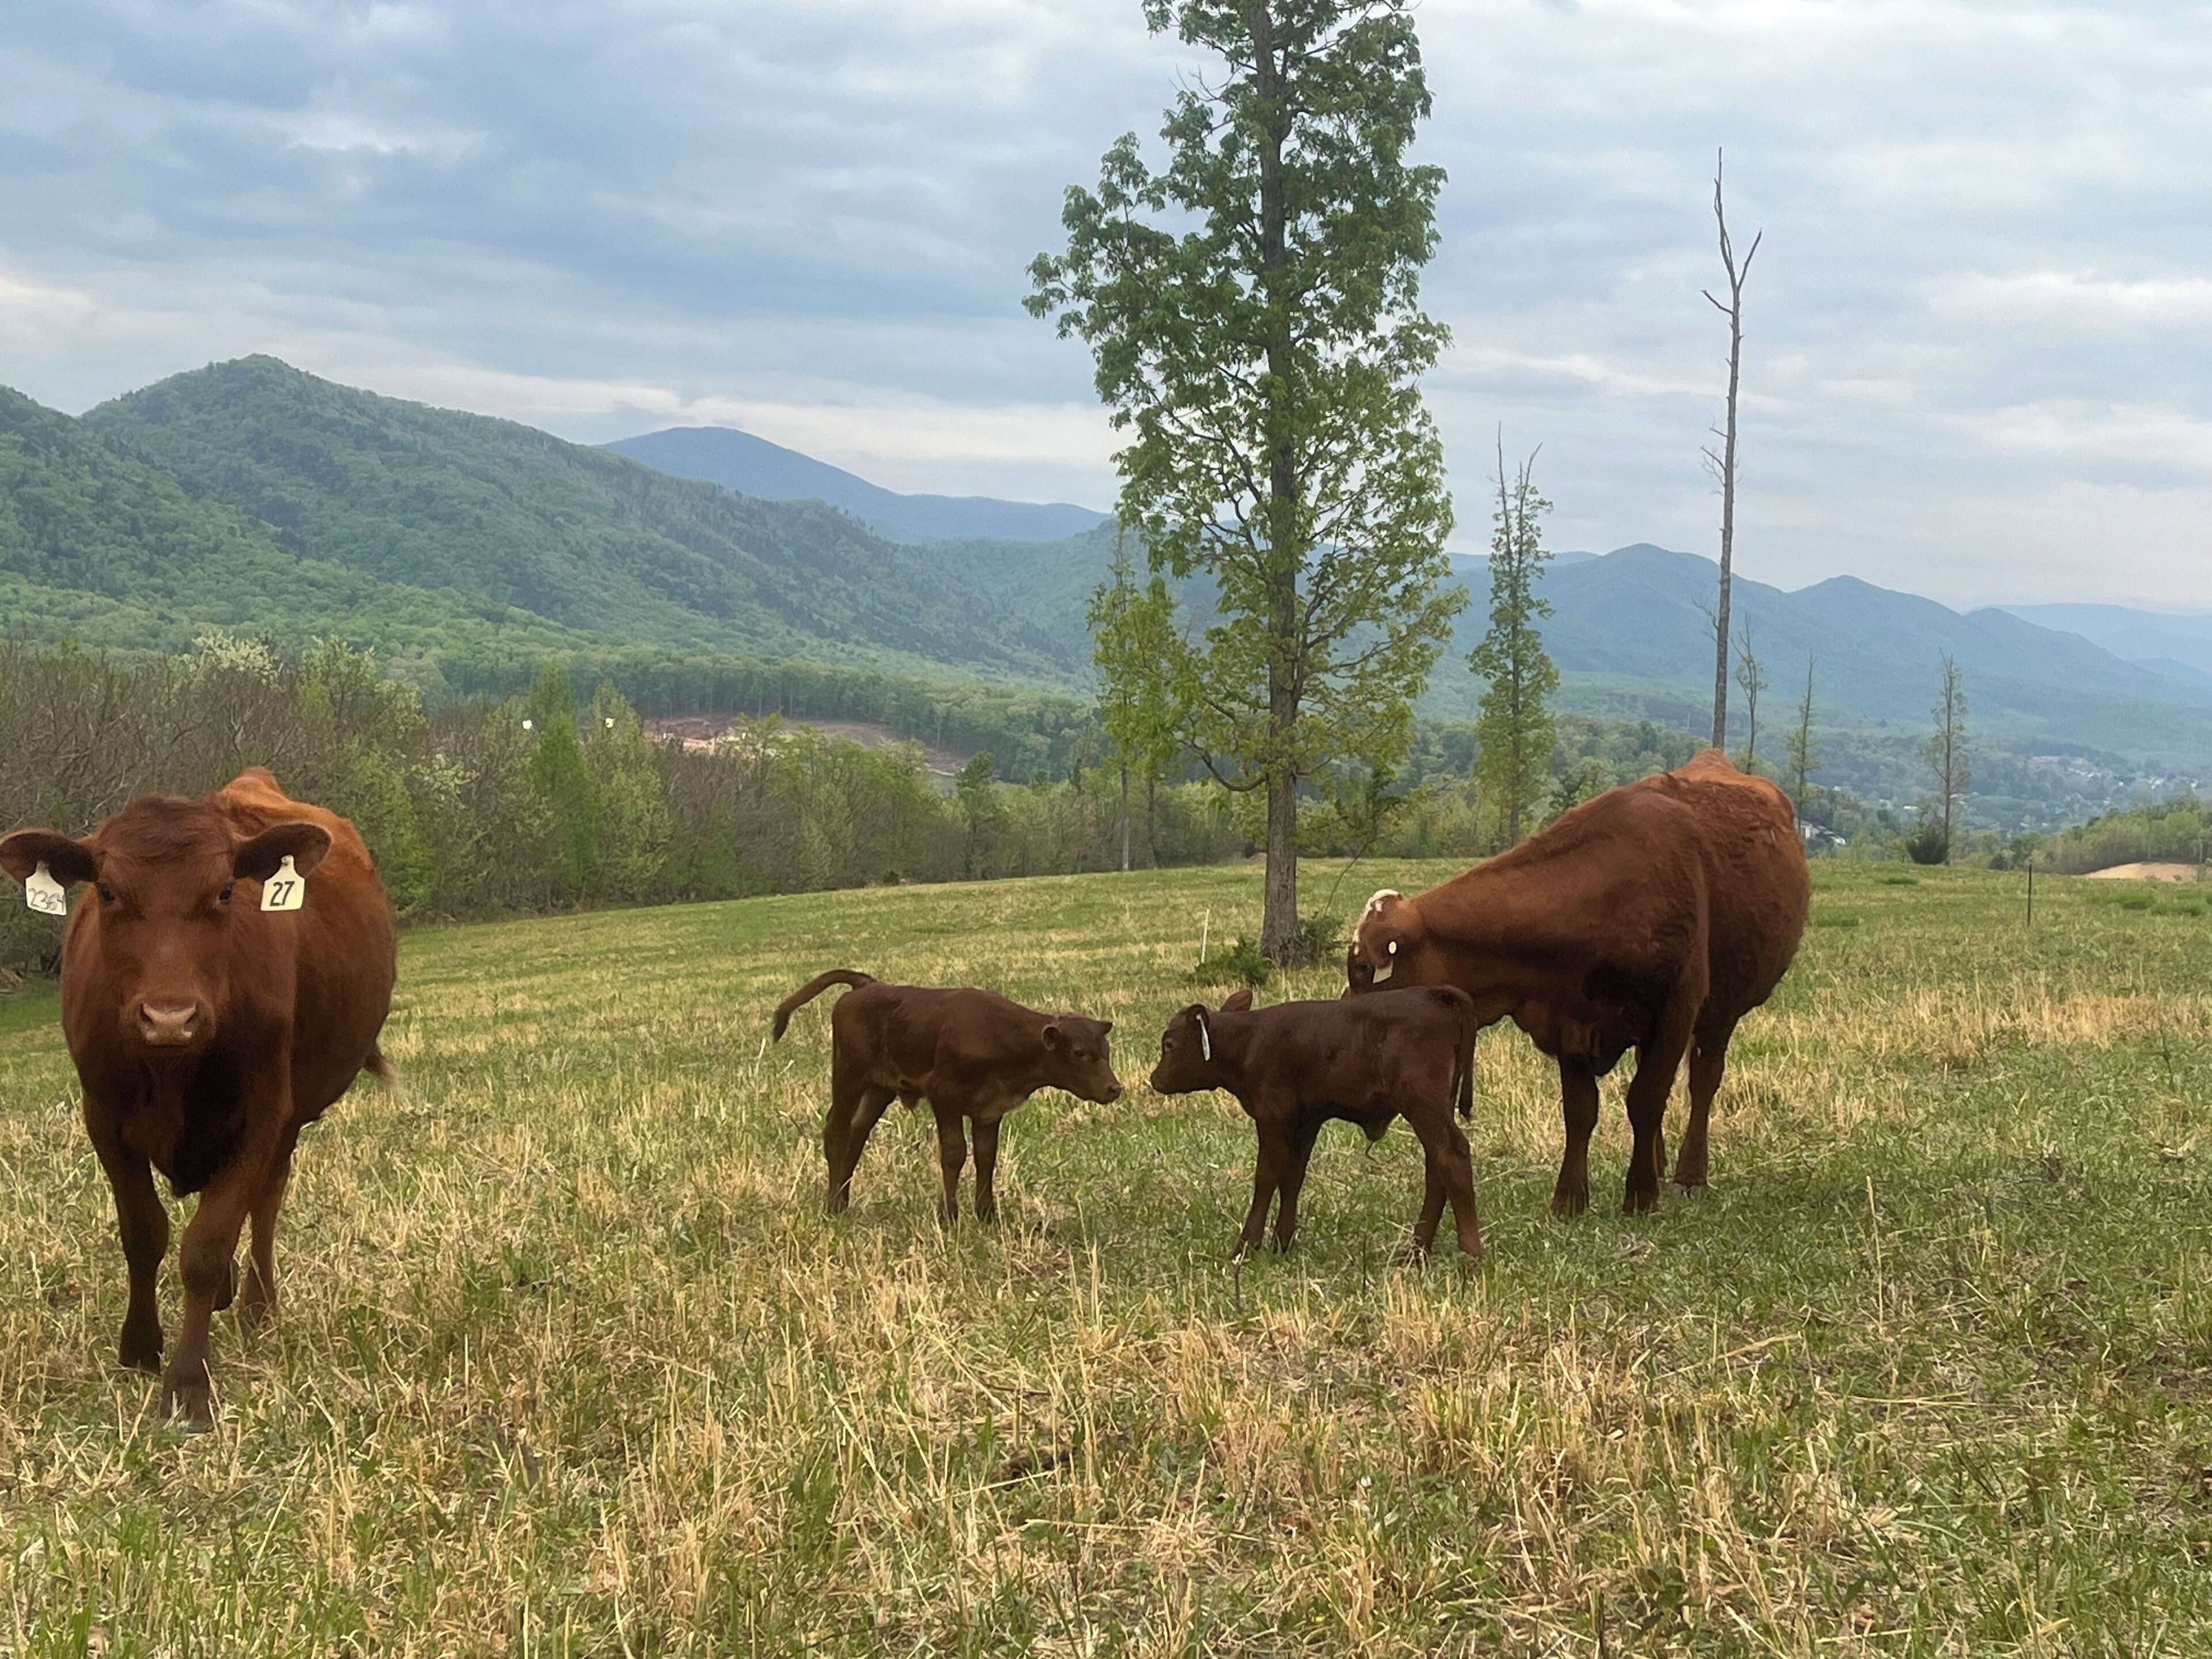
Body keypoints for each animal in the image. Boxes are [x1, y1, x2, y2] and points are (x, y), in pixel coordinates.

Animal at [1, 768, 397, 1425]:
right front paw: (140, 1348)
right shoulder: (103, 1116)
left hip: (289, 1118)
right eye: (106, 891)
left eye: (226, 891)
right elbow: (144, 1233)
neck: (171, 1068)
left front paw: (189, 1381)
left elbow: (206, 1247)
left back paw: (256, 1306)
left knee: (265, 1202)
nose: (170, 1017)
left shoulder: (263, 1114)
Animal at [771, 969, 1123, 1223]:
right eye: (1080, 1053)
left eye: (1106, 1051)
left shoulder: (989, 1109)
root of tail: (866, 985)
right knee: (837, 1131)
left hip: (878, 1089)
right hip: (849, 1076)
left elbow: (986, 1156)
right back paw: (832, 1206)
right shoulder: (945, 1097)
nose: (1114, 1088)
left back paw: (843, 1202)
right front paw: (949, 1216)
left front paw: (986, 1215)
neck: (1002, 1037)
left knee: (858, 1133)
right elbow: (955, 1153)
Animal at [1147, 985, 1484, 1264]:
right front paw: (1282, 1242)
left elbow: (1266, 1177)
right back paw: (1416, 1252)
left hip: (1422, 1103)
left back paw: (1470, 1254)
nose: (1155, 1078)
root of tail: (1433, 994)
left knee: (1452, 1156)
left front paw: (1246, 1246)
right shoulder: (1305, 1122)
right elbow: (1292, 1177)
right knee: (1436, 1166)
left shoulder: (1272, 1118)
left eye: (1169, 1044)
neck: (1249, 1042)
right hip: (1434, 1108)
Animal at [1345, 749, 1809, 1217]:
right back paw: (1658, 1161)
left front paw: (1640, 1195)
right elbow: (1582, 1111)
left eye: (1363, 967)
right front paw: (1570, 1198)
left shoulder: (1677, 1008)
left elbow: (1646, 1100)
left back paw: (1688, 1175)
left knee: (1702, 1082)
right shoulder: (1568, 1019)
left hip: (1721, 1011)